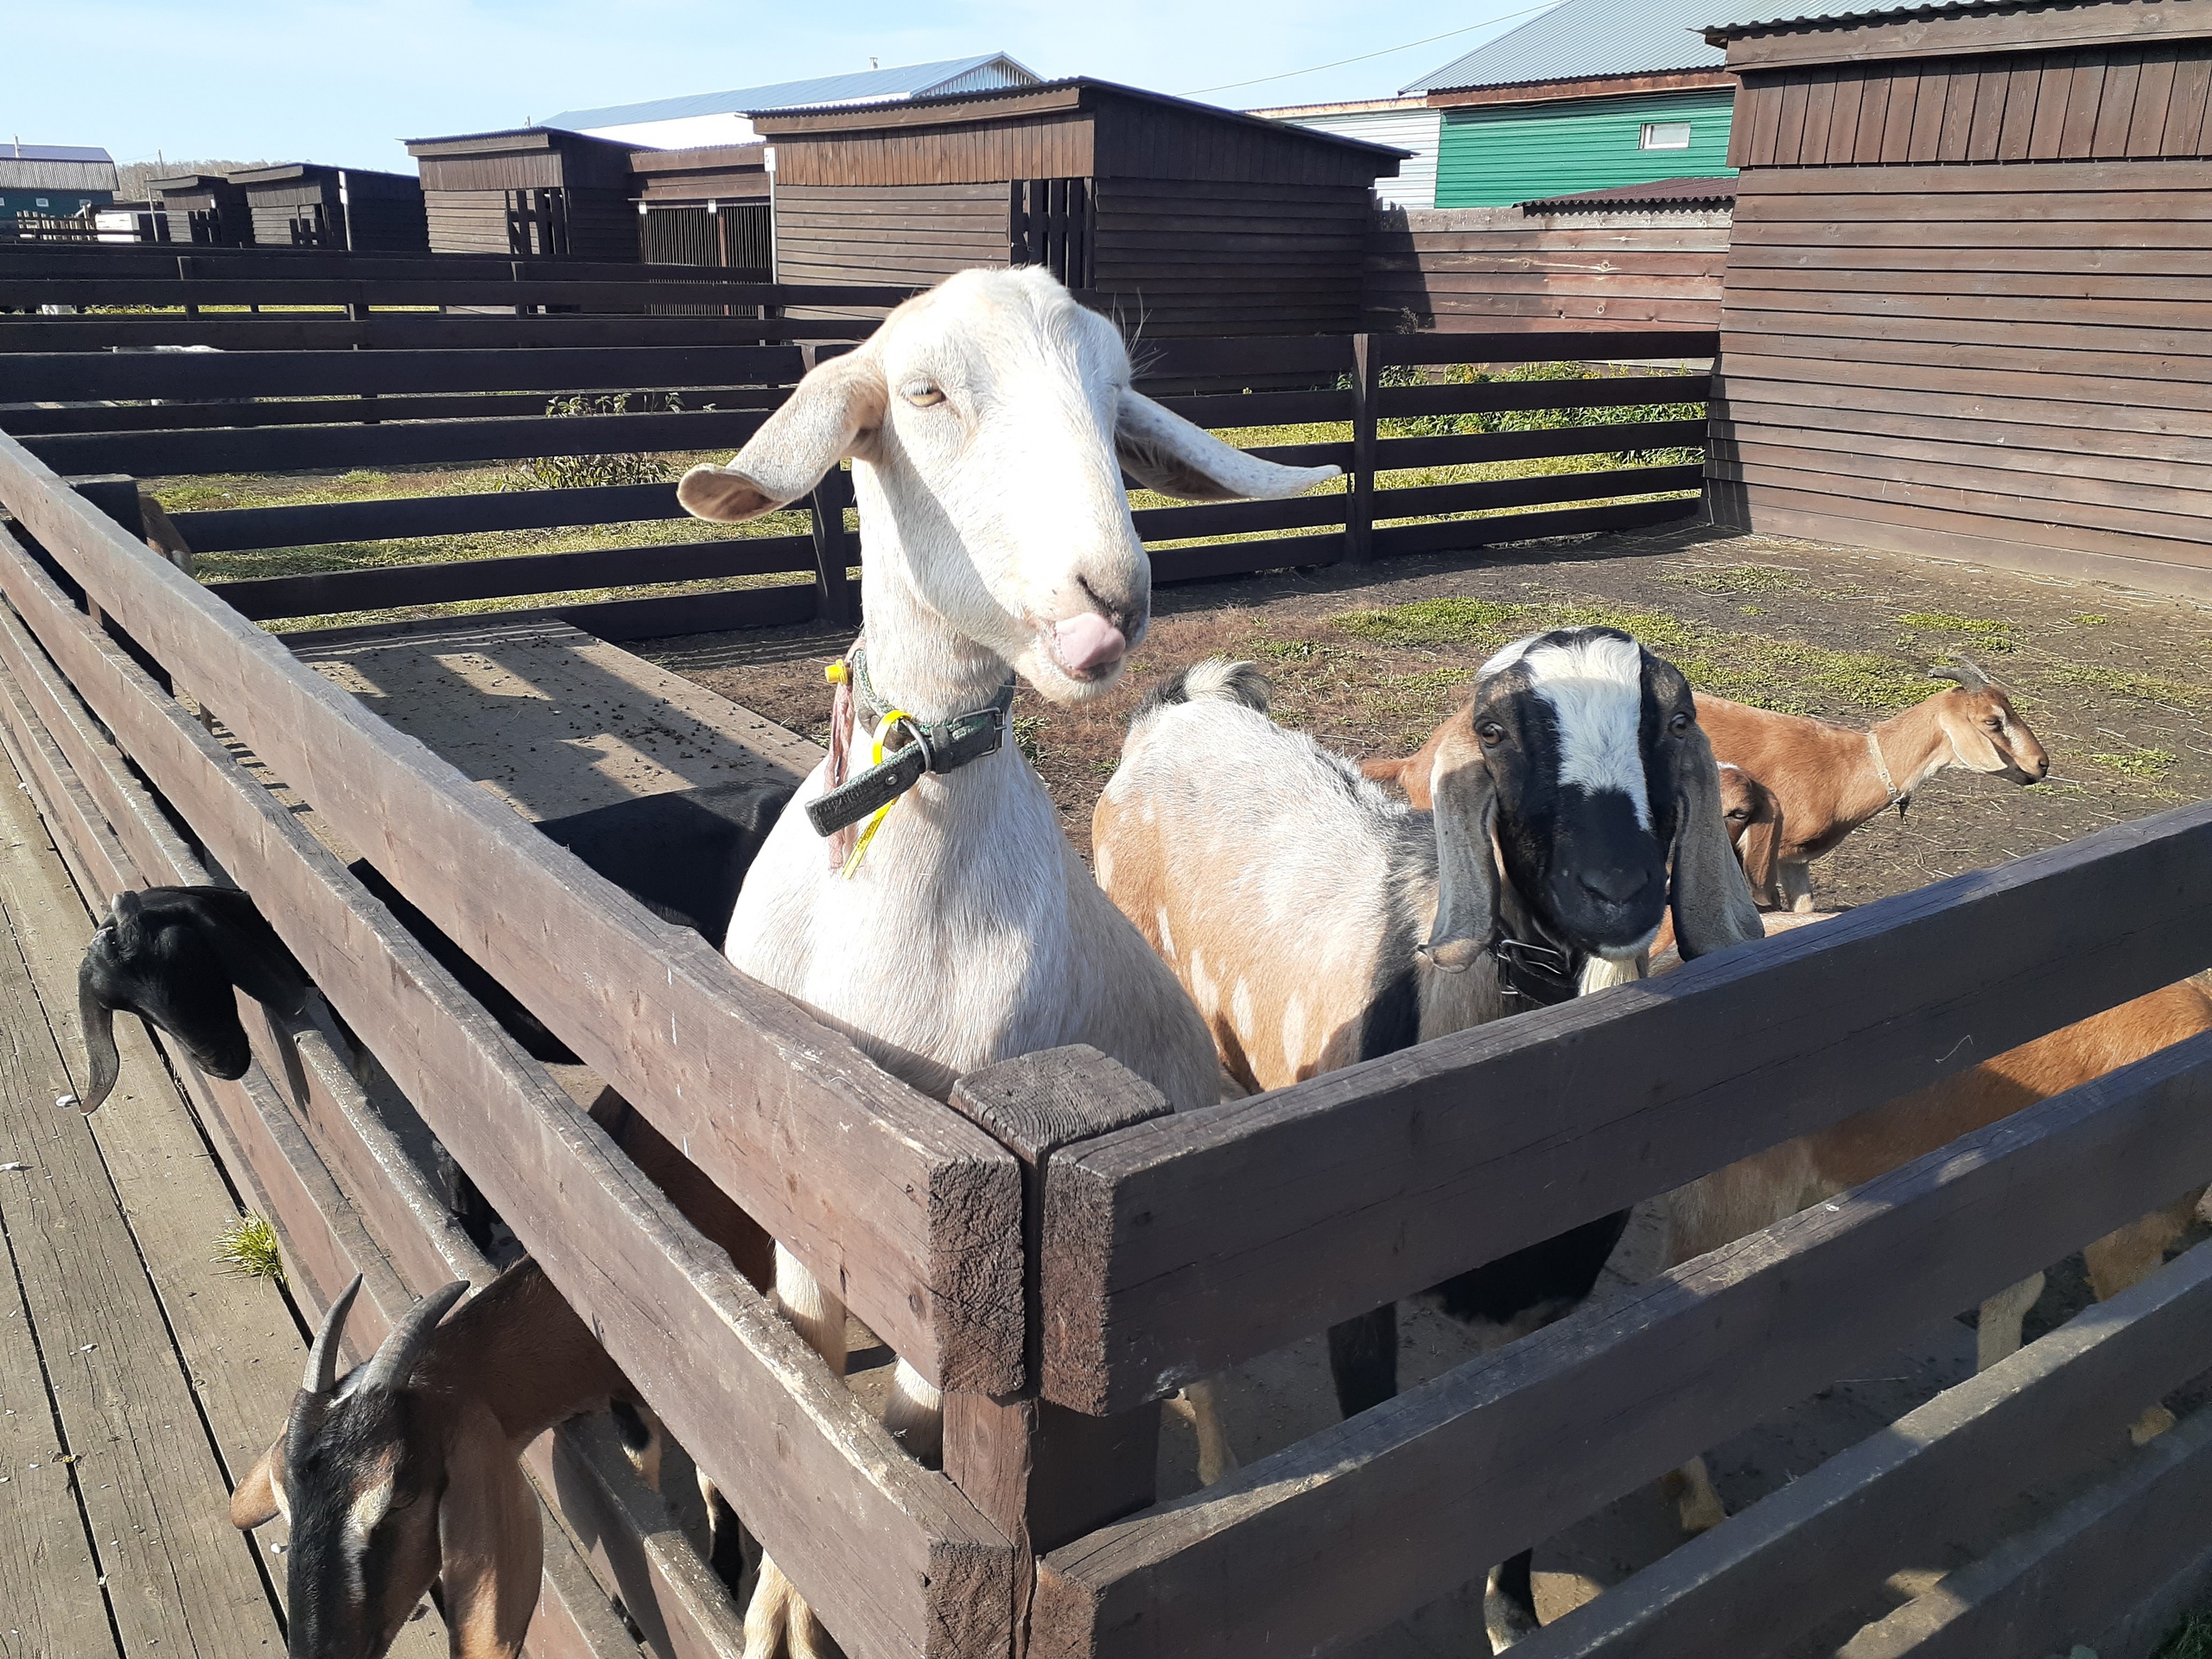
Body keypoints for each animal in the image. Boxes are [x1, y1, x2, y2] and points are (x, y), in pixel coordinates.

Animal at [677, 265, 1339, 1658]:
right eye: (924, 392)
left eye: (1114, 399)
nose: (1110, 597)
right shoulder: (807, 1185)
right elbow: (807, 1378)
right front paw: (772, 1601)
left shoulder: (943, 1278)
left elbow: (903, 1438)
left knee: (1214, 1409)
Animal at [1092, 629, 1764, 1650]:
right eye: (1492, 729)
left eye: (1676, 716)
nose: (1615, 891)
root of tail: (1180, 709)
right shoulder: (1359, 1297)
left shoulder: (1553, 1305)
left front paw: (1512, 1617)